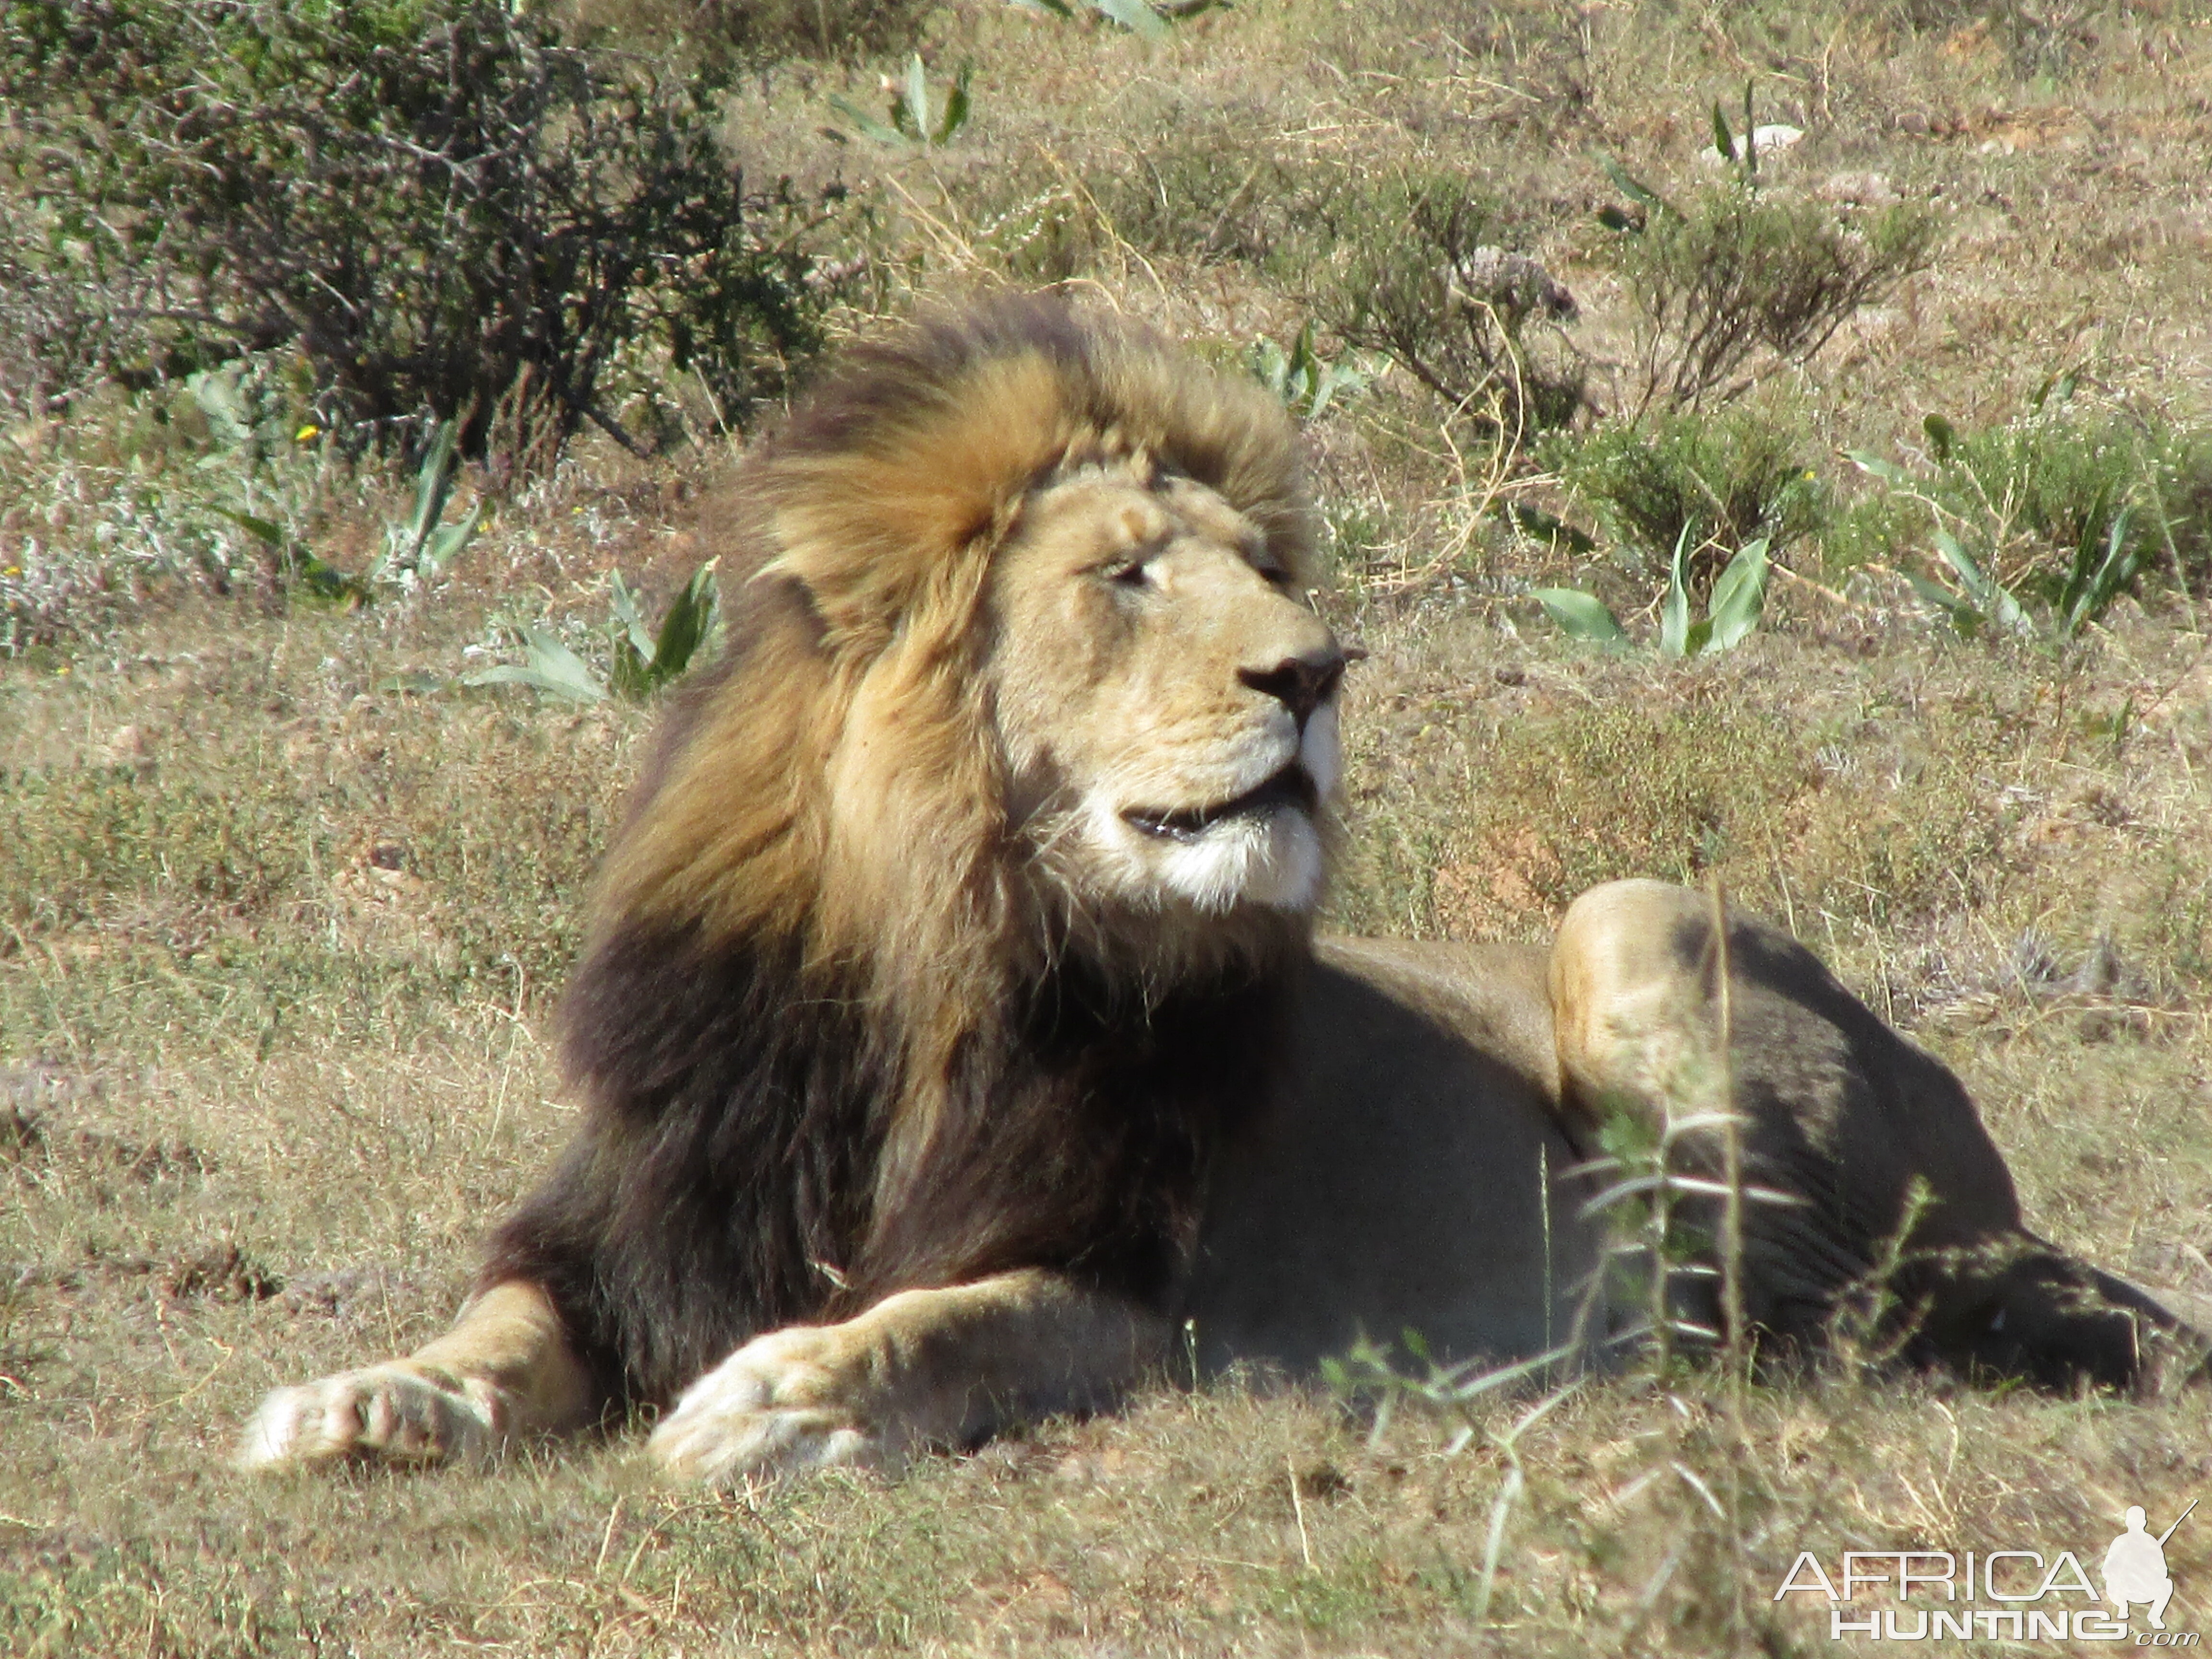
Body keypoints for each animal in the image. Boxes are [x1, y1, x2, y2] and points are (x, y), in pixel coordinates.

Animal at [233, 299, 2203, 1495]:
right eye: (1124, 577)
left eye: (1263, 571)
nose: (1318, 669)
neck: (942, 967)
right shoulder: (642, 1221)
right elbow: (504, 1321)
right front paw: (369, 1394)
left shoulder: (1129, 1278)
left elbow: (945, 1321)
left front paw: (788, 1391)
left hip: (1630, 921)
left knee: (1862, 1308)